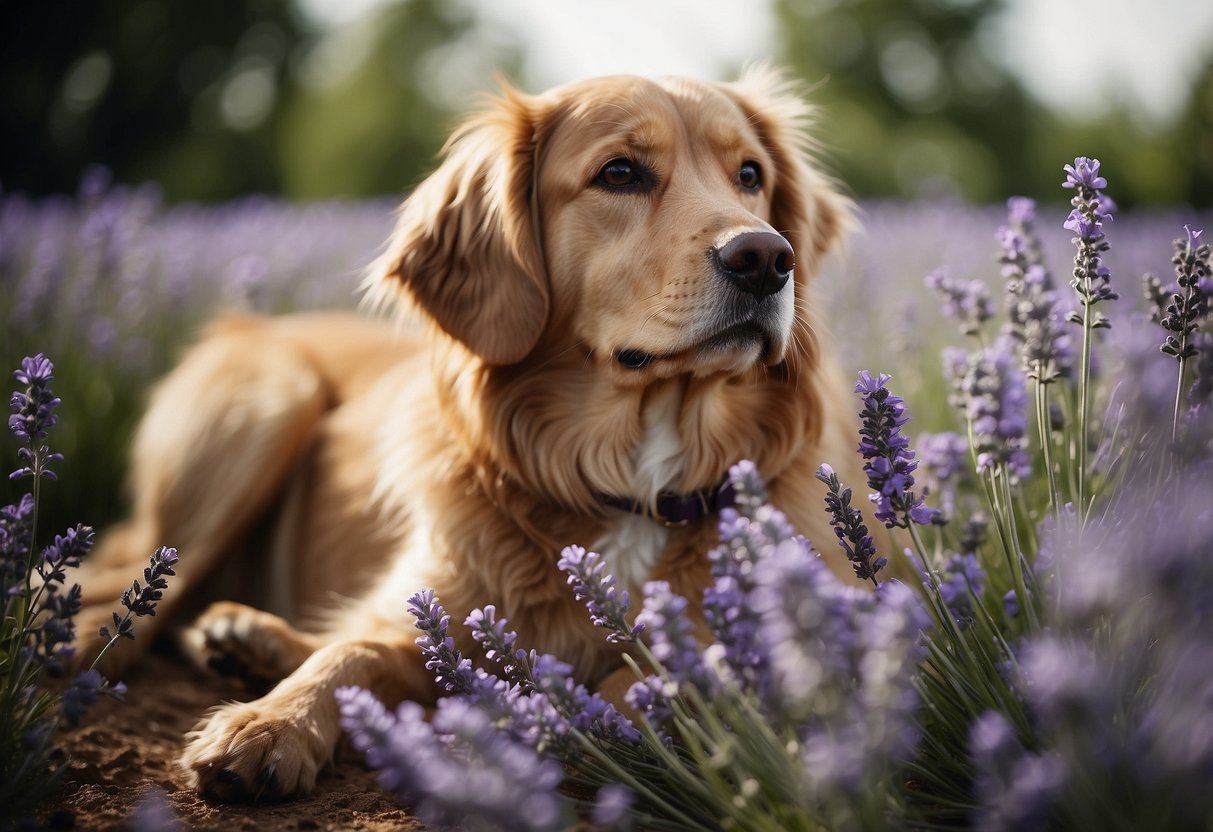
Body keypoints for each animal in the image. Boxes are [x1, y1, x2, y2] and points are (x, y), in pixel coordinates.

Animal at [68, 66, 873, 800]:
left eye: (750, 175)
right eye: (619, 172)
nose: (767, 258)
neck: (632, 480)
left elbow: (642, 682)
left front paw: (538, 727)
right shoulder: (434, 609)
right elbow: (353, 652)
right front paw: (271, 723)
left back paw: (245, 638)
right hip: (267, 407)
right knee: (136, 591)